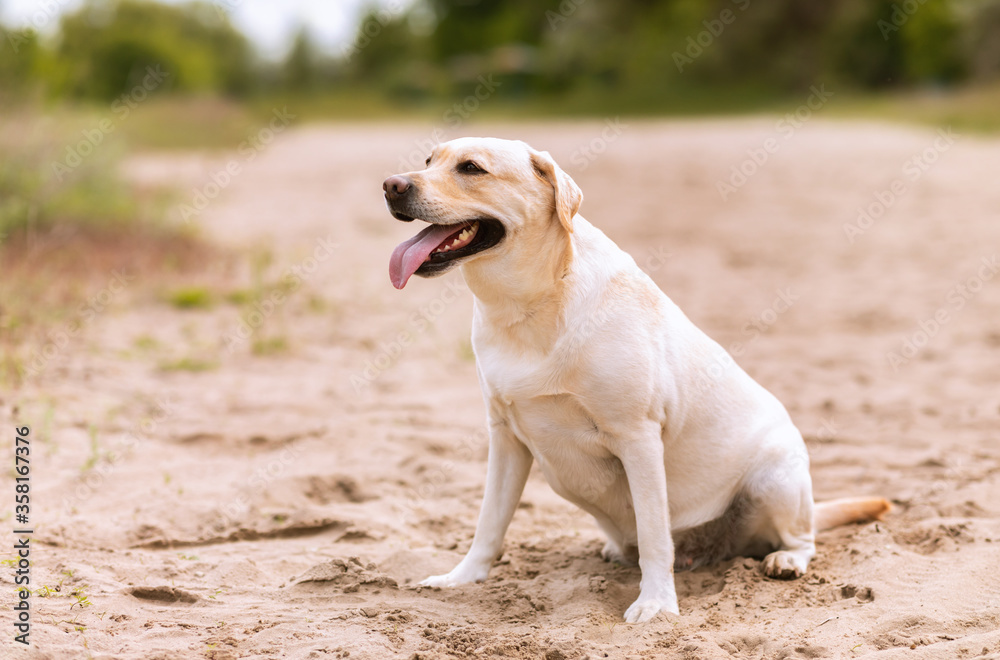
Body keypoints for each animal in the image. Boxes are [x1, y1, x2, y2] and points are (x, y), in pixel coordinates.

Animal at [382, 137, 892, 620]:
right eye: (428, 161)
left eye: (471, 168)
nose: (391, 185)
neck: (529, 303)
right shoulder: (505, 437)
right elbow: (489, 522)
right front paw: (462, 578)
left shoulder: (638, 438)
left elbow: (653, 535)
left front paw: (657, 603)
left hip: (776, 476)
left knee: (801, 537)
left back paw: (786, 559)